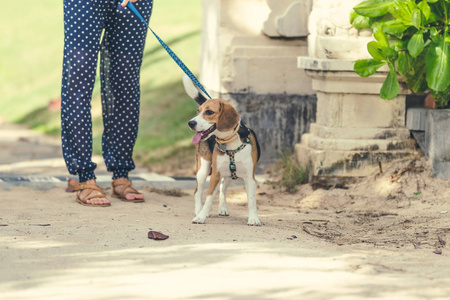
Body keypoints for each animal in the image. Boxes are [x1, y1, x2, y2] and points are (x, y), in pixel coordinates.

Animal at [182, 76, 260, 226]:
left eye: (209, 112)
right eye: (198, 111)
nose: (190, 123)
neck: (230, 144)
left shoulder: (250, 177)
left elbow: (252, 200)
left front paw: (253, 218)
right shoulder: (215, 175)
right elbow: (208, 198)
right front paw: (201, 217)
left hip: (227, 175)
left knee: (223, 189)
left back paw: (223, 208)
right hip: (203, 169)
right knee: (197, 191)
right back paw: (198, 210)